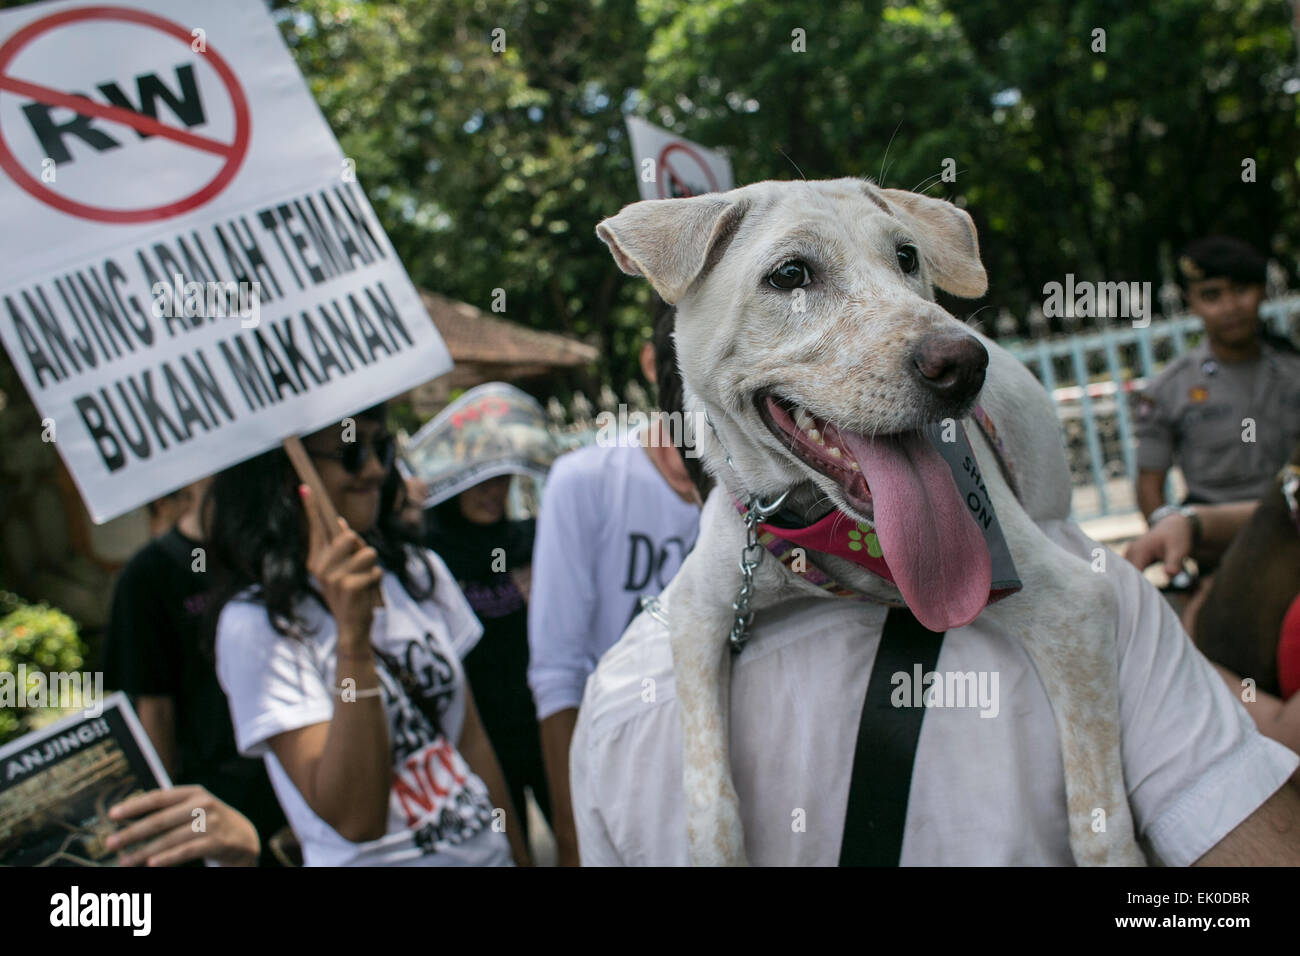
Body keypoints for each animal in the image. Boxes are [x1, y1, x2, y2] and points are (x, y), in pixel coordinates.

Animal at [595, 178, 1144, 868]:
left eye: (907, 257)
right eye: (790, 274)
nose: (965, 364)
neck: (830, 532)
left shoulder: (1074, 604)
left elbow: (1099, 824)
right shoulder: (697, 606)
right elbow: (707, 797)